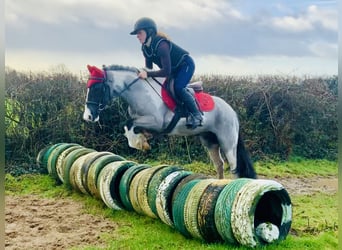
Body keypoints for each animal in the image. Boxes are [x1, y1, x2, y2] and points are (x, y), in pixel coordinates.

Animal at [83, 63, 255, 179]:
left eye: (97, 88)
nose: (88, 116)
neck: (140, 93)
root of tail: (231, 111)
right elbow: (128, 125)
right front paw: (143, 139)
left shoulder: (157, 122)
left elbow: (129, 124)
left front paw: (139, 143)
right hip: (209, 140)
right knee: (219, 164)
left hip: (227, 141)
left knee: (234, 166)